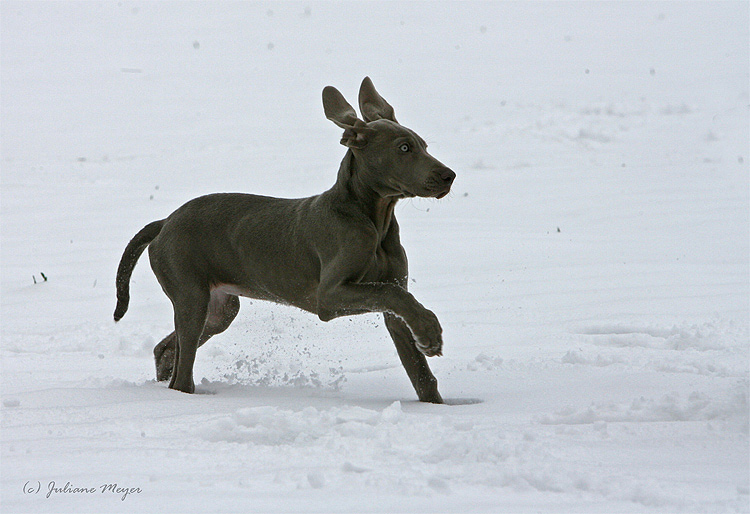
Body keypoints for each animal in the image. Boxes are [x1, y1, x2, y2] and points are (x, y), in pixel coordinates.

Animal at [114, 78, 456, 402]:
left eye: (424, 146)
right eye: (404, 148)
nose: (449, 176)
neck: (372, 219)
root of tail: (165, 222)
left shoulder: (392, 308)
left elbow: (421, 373)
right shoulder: (329, 296)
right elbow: (391, 294)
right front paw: (430, 331)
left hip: (219, 308)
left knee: (167, 349)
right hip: (191, 295)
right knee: (182, 374)